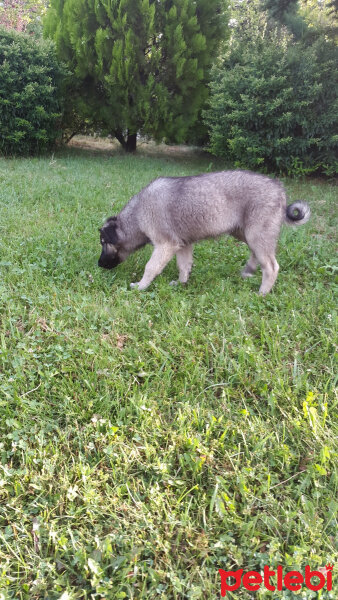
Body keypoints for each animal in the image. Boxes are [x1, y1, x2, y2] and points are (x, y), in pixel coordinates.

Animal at [98, 170, 312, 294]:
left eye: (103, 242)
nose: (99, 264)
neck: (137, 215)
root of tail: (280, 190)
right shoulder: (182, 244)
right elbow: (183, 265)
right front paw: (181, 283)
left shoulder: (165, 245)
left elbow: (150, 267)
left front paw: (141, 286)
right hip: (244, 232)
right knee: (256, 253)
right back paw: (249, 270)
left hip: (256, 233)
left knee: (271, 266)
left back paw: (262, 293)